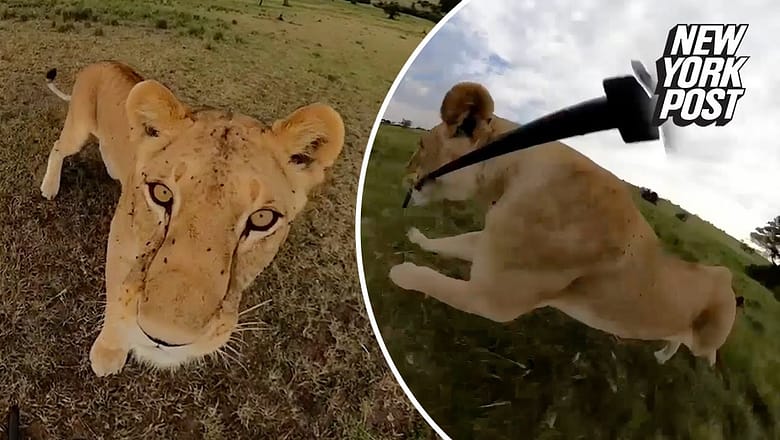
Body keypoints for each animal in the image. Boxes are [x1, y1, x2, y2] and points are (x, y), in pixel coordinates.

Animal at [42, 61, 344, 376]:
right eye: (161, 193)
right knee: (58, 146)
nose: (165, 339)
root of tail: (101, 62)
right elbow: (116, 293)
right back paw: (49, 187)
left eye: (262, 218)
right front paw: (109, 353)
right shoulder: (120, 240)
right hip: (77, 130)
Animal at [391, 82, 742, 366]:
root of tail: (725, 277)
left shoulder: (493, 300)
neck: (507, 174)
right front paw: (419, 238)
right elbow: (450, 243)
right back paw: (662, 354)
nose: (404, 173)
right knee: (675, 336)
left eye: (422, 145)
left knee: (700, 347)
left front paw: (401, 272)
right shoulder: (491, 244)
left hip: (706, 340)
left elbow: (431, 281)